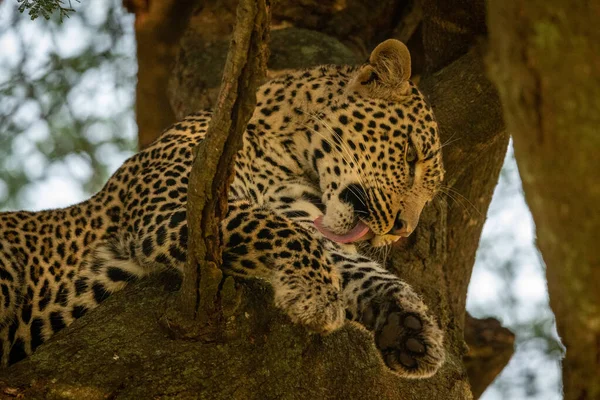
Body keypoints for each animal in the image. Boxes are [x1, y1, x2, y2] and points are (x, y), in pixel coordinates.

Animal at [0, 39, 446, 376]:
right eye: (410, 155)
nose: (402, 230)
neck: (288, 153)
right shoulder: (180, 206)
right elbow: (286, 232)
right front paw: (316, 296)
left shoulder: (310, 221)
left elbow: (355, 265)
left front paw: (412, 328)